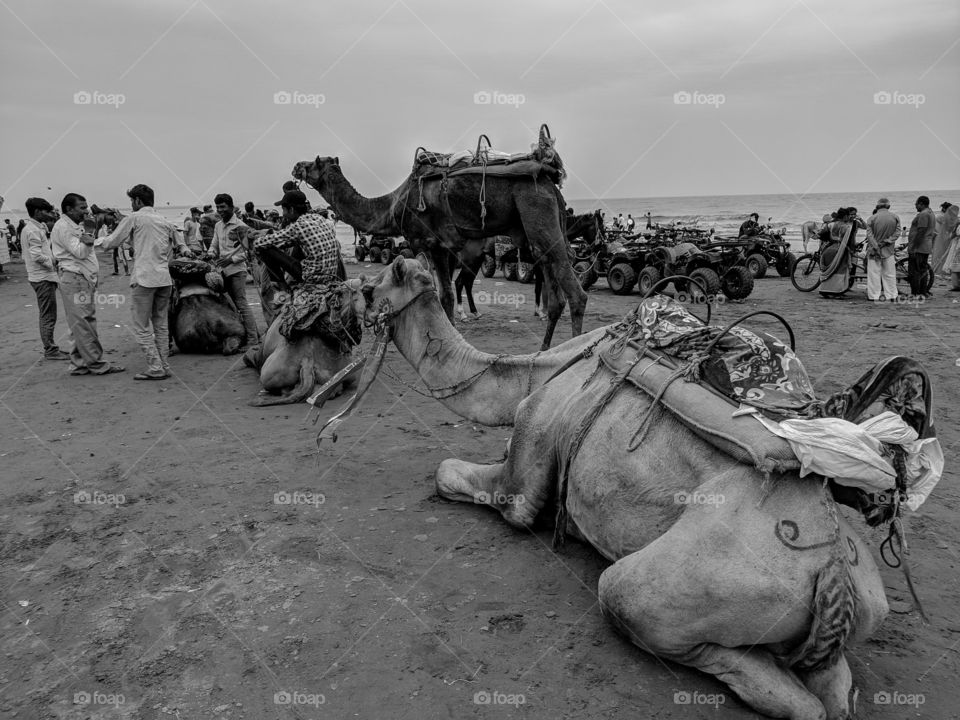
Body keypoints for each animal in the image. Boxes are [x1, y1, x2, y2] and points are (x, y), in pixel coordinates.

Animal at [288, 151, 584, 352]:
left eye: (313, 162)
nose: (295, 166)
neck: (392, 206)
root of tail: (550, 182)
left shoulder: (431, 243)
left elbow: (444, 296)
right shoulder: (443, 248)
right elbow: (445, 295)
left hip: (536, 209)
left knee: (576, 294)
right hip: (540, 228)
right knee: (556, 296)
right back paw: (545, 351)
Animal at [330, 258, 936, 720]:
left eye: (369, 287)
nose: (341, 300)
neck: (539, 371)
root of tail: (832, 564)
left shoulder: (528, 455)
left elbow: (461, 477)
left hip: (681, 582)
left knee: (639, 606)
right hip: (859, 609)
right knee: (836, 692)